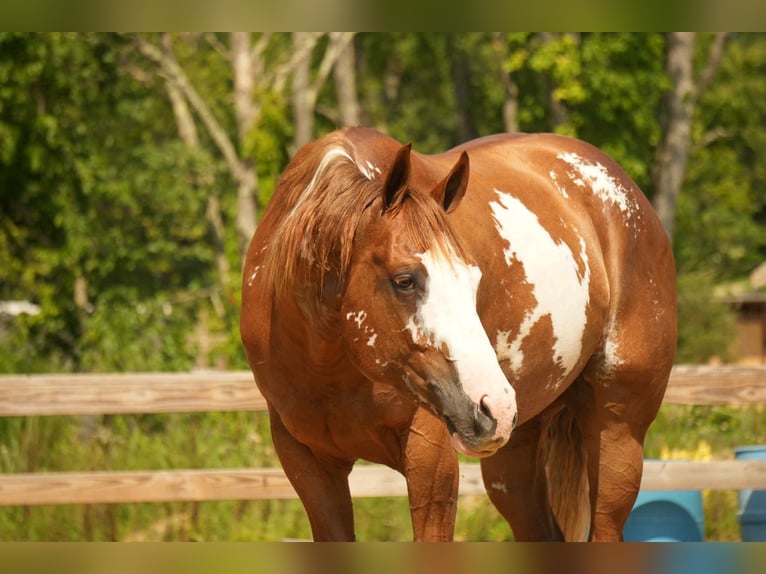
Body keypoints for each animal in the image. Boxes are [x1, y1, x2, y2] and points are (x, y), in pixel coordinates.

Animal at [240, 126, 676, 541]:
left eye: (473, 280)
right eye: (404, 280)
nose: (494, 406)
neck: (329, 367)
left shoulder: (430, 463)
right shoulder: (309, 467)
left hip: (616, 437)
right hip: (513, 456)